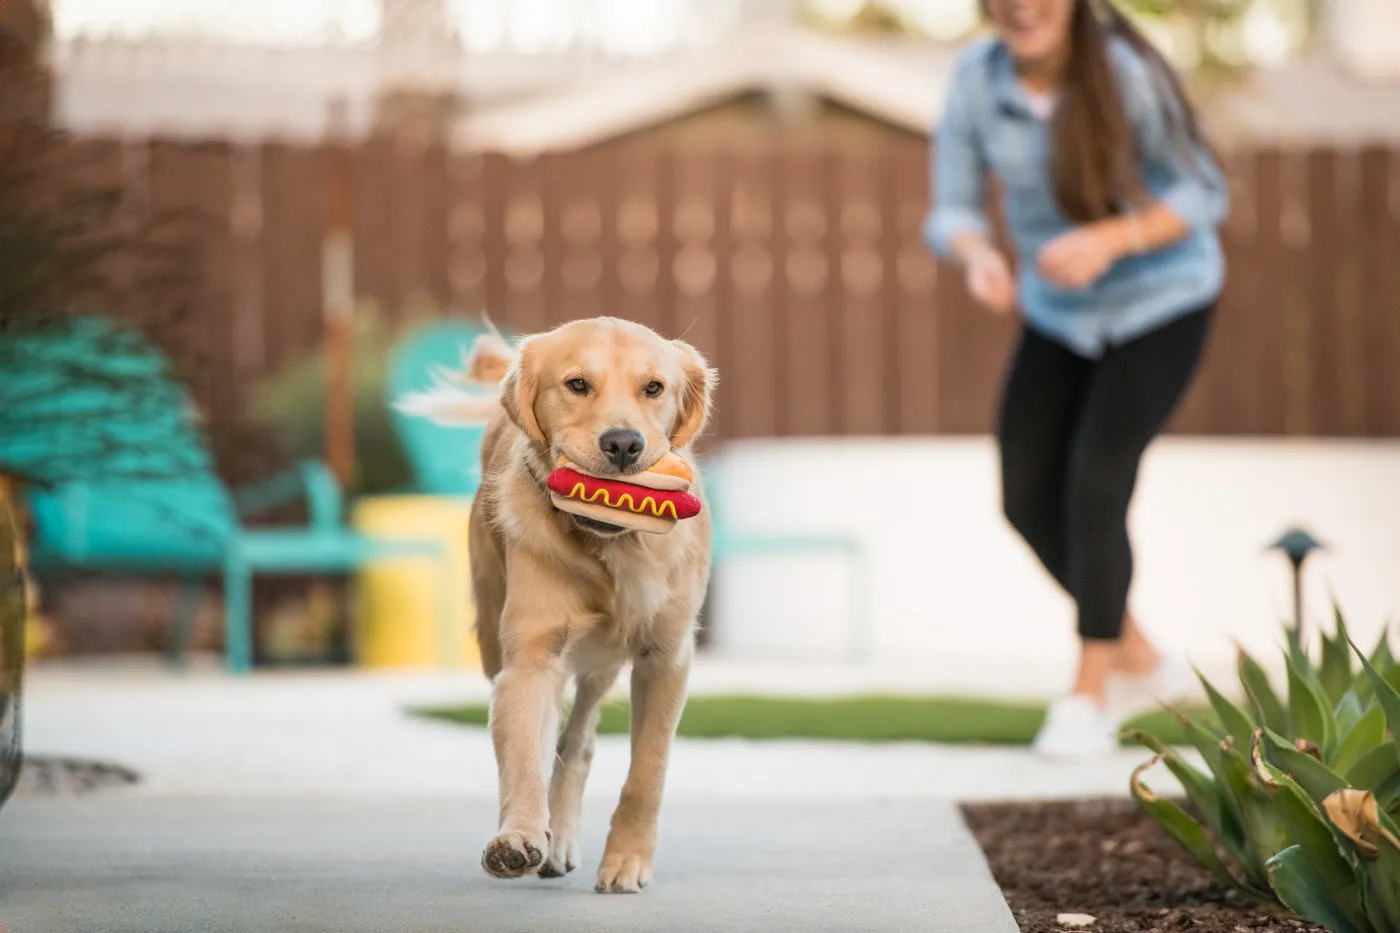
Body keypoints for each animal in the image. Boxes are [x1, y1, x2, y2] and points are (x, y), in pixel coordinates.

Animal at [425, 316, 716, 890]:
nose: (623, 443)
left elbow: (647, 771)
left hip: (602, 665)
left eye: (654, 388)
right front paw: (519, 836)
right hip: (496, 636)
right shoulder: (532, 657)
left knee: (577, 742)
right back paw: (547, 837)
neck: (614, 547)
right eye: (577, 384)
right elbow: (522, 754)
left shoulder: (666, 658)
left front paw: (626, 860)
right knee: (548, 742)